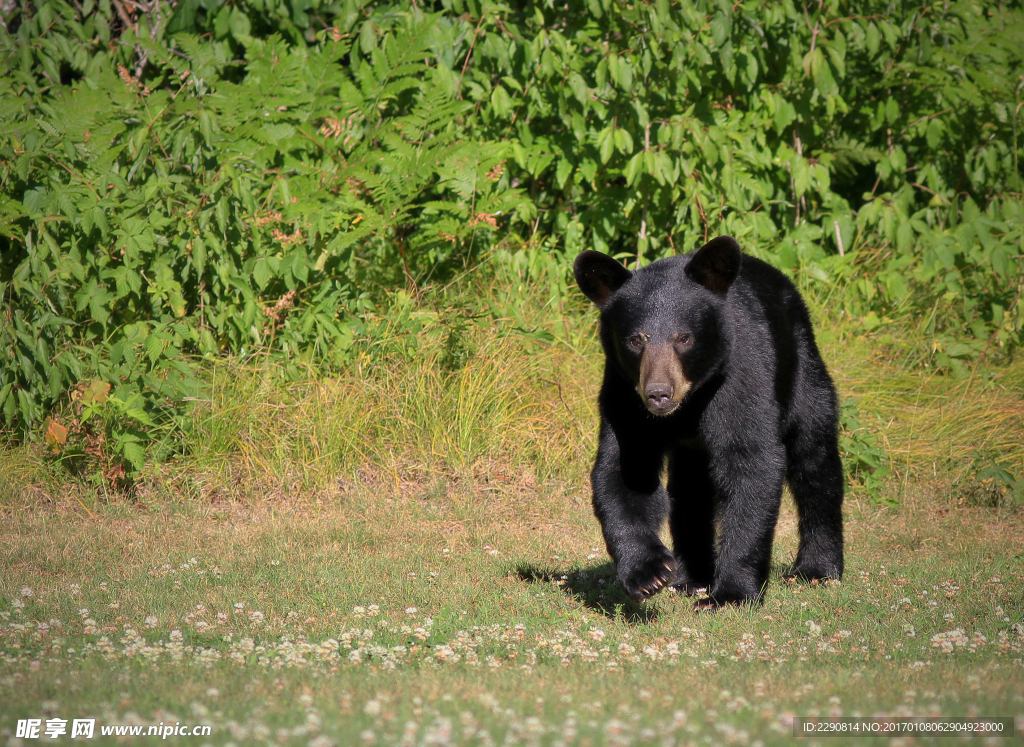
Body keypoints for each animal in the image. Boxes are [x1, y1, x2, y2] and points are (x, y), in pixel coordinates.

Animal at [574, 235, 844, 609]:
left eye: (684, 338)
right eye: (636, 339)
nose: (658, 394)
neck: (690, 404)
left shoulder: (742, 378)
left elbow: (750, 463)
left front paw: (733, 592)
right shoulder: (624, 395)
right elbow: (626, 471)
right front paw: (649, 573)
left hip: (802, 370)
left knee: (814, 458)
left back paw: (817, 567)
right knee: (691, 491)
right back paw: (692, 576)